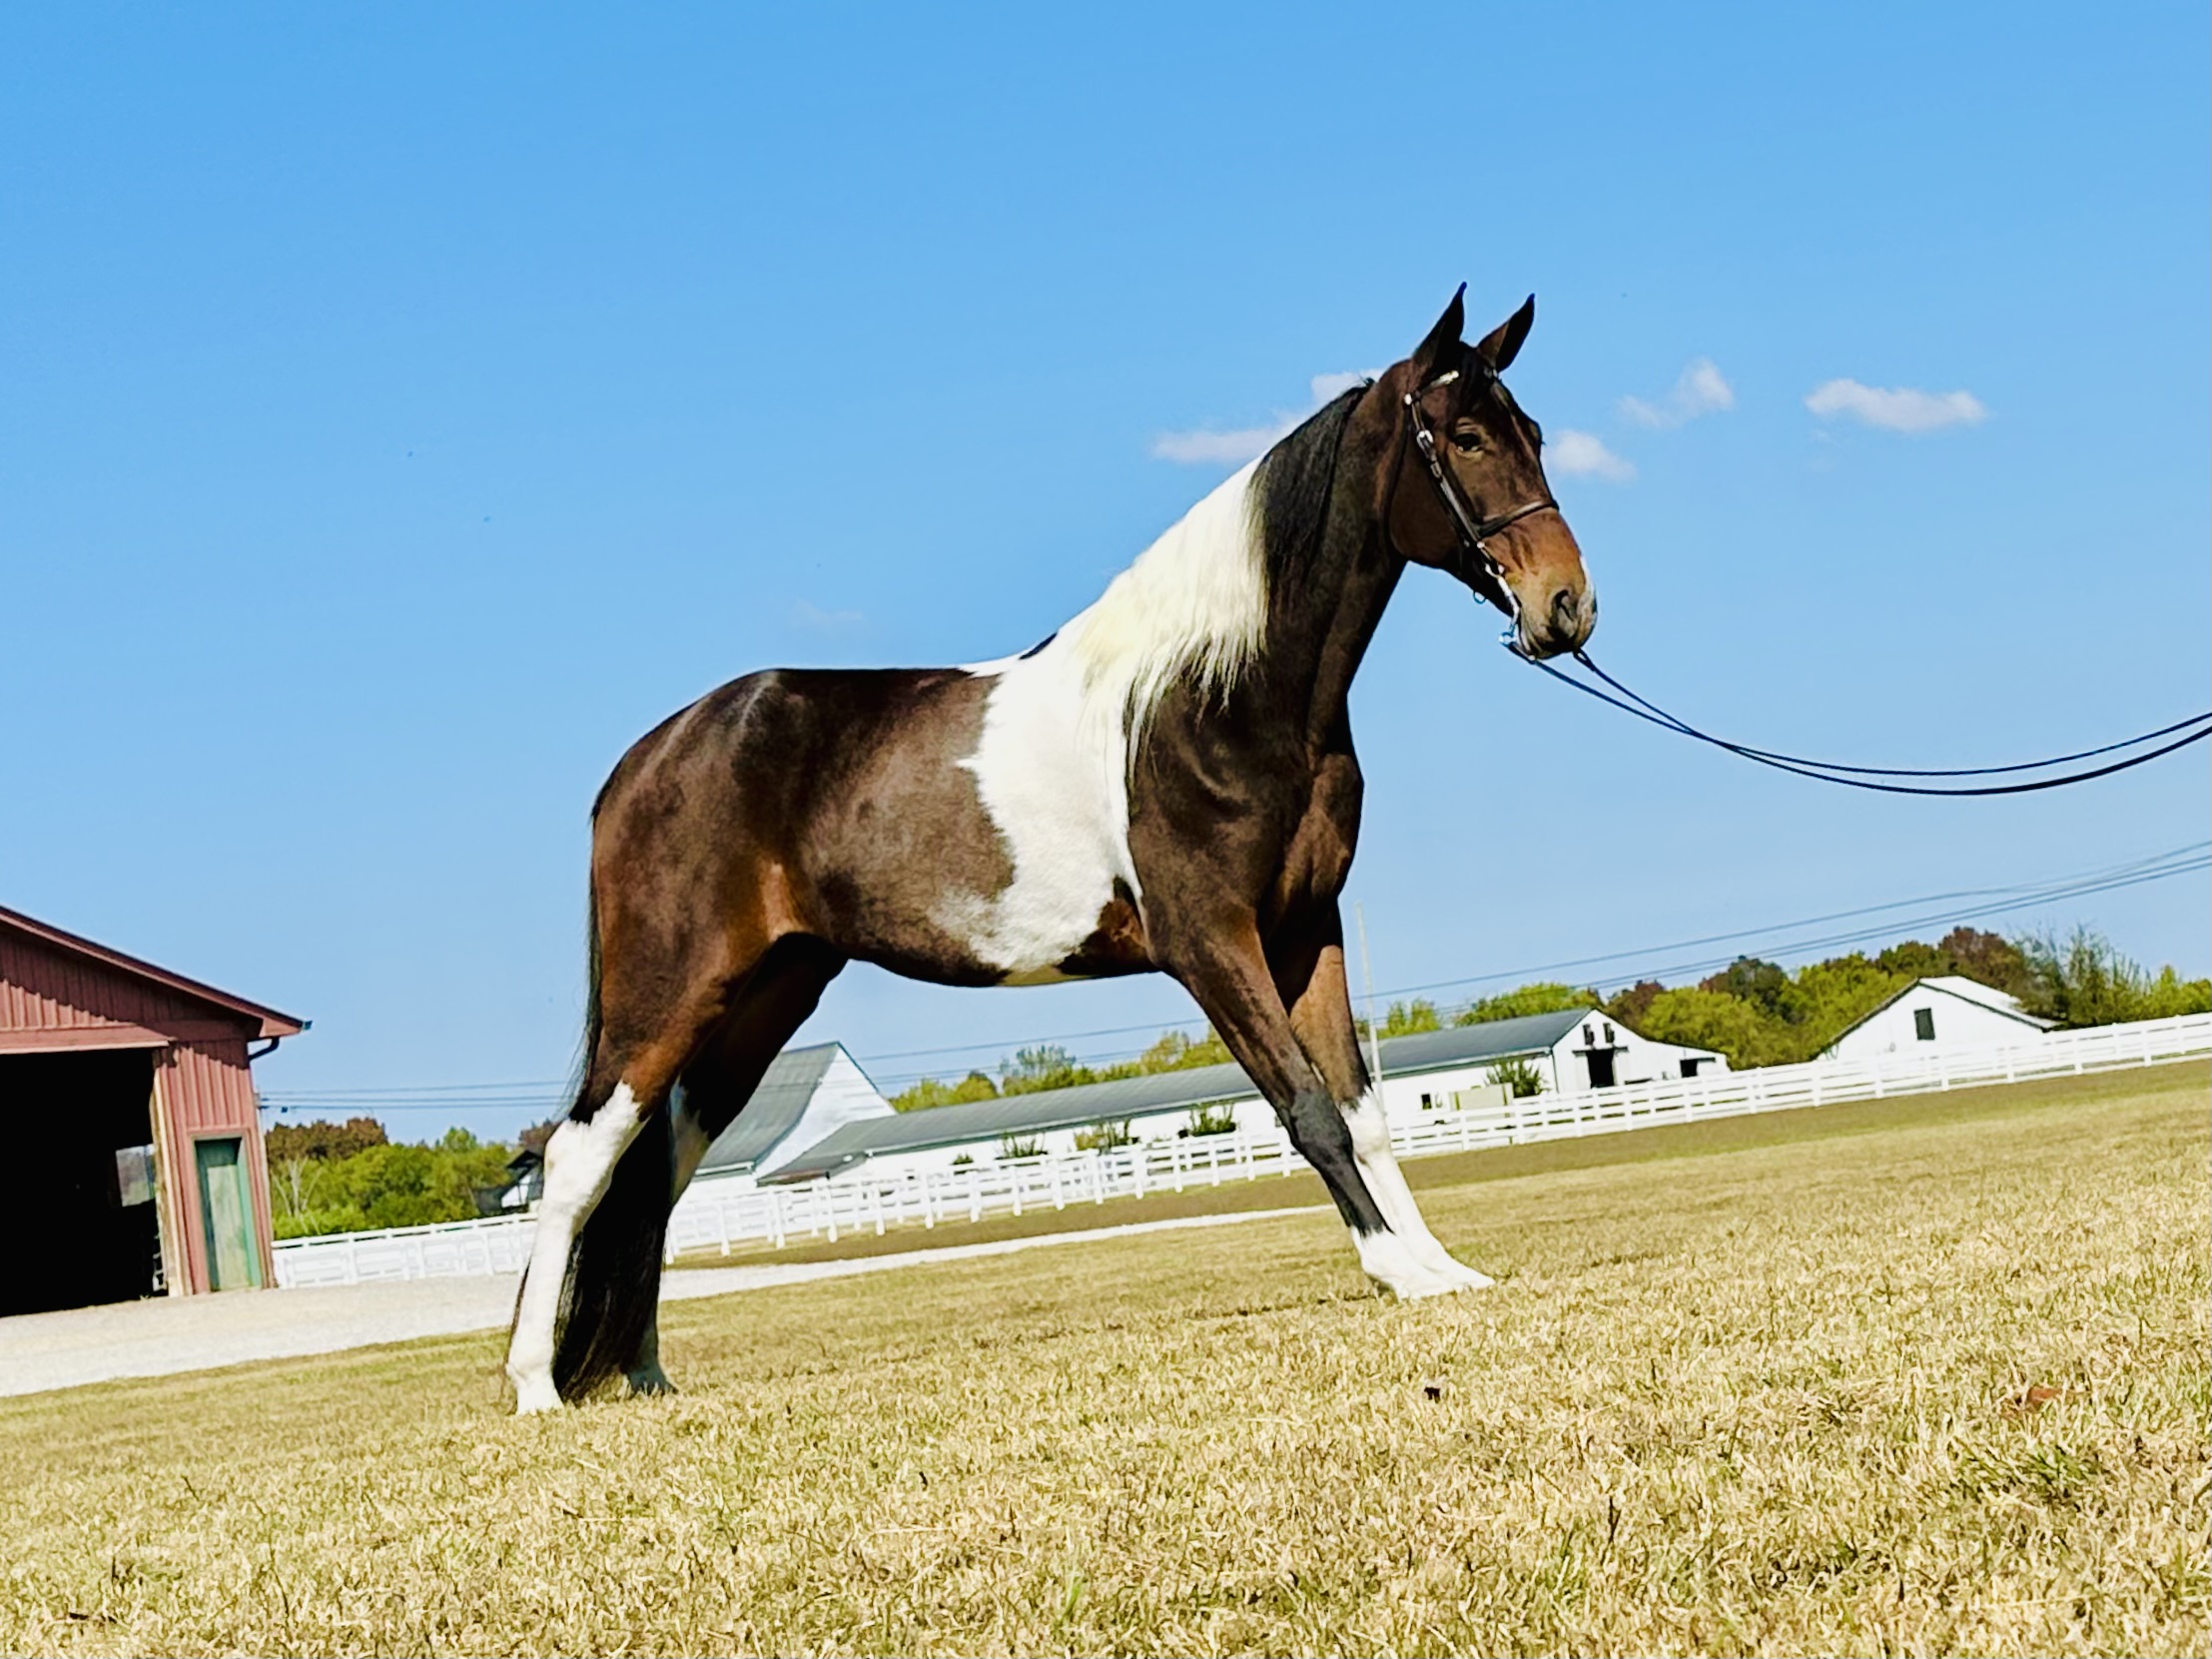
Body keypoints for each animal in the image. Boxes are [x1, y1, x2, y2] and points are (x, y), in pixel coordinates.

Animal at [506, 287, 1596, 1412]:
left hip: (764, 995)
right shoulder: (1210, 941)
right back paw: (536, 1384)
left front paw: (1438, 1267)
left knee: (659, 1165)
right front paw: (1396, 1271)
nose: (1566, 604)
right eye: (1464, 437)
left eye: (1532, 430)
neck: (1213, 694)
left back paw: (643, 1370)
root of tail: (648, 756)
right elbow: (1307, 1108)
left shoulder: (1306, 930)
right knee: (582, 1157)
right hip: (670, 988)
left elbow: (1362, 1109)